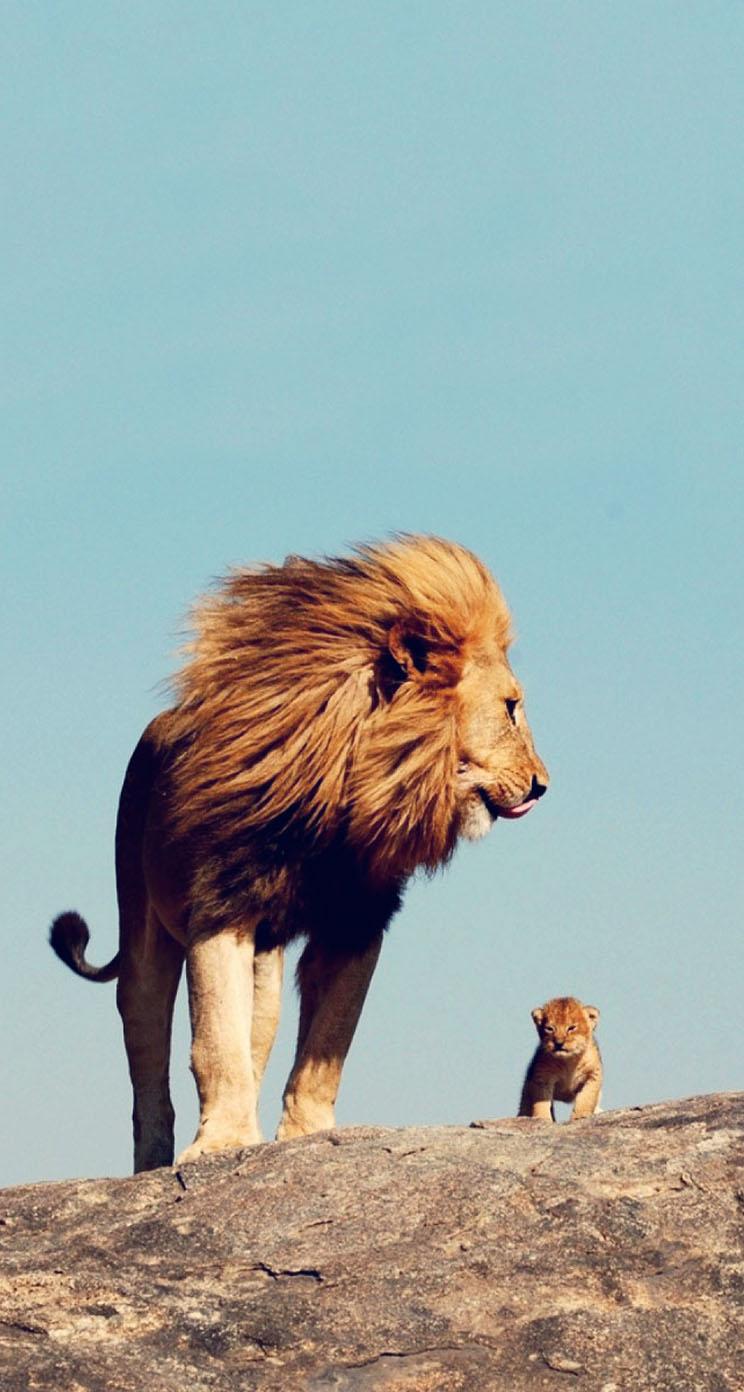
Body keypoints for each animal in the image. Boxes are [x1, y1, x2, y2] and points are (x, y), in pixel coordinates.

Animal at [50, 535, 549, 1172]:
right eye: (511, 707)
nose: (542, 785)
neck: (347, 789)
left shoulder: (356, 922)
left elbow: (326, 1047)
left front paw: (304, 1136)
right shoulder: (221, 907)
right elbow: (214, 1042)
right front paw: (223, 1144)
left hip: (266, 967)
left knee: (256, 1037)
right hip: (143, 933)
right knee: (148, 1058)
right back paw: (154, 1163)